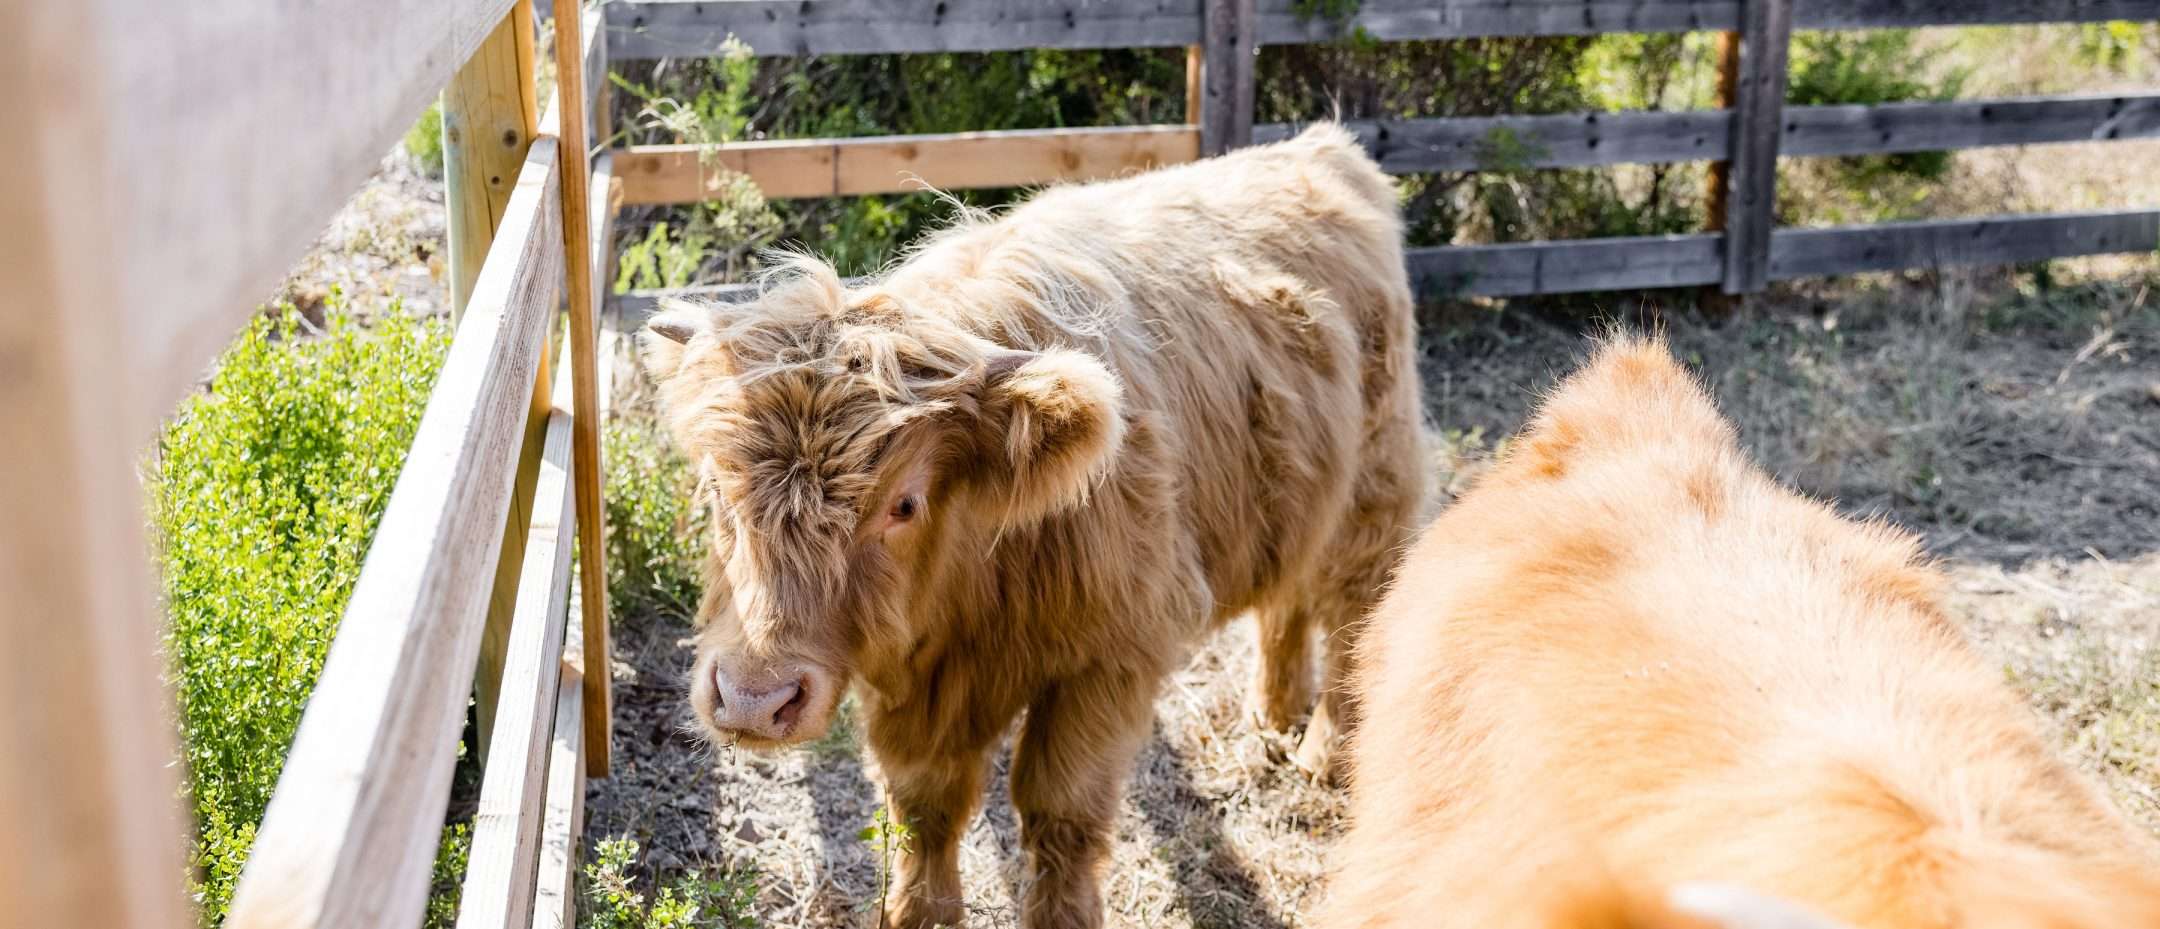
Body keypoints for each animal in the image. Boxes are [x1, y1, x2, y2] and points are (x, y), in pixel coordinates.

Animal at [639, 123, 1428, 929]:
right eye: (716, 485)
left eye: (904, 504)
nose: (754, 700)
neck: (972, 584)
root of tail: (1319, 147)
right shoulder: (915, 682)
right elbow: (923, 805)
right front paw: (918, 912)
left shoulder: (1109, 660)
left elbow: (1060, 809)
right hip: (1298, 491)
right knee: (1287, 594)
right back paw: (1271, 714)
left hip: (1374, 491)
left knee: (1354, 609)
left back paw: (1324, 754)